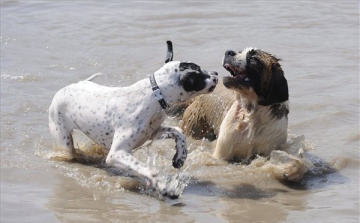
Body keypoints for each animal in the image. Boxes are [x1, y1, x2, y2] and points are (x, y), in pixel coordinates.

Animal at [180, 48, 306, 180]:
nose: (229, 51)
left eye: (253, 58)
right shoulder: (222, 154)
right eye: (240, 51)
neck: (251, 114)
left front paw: (290, 169)